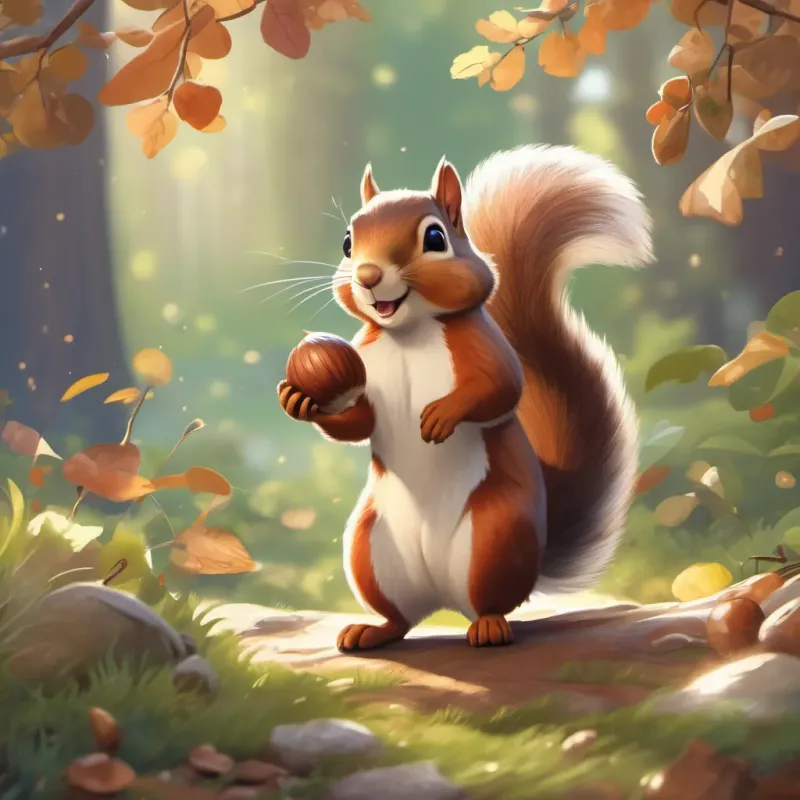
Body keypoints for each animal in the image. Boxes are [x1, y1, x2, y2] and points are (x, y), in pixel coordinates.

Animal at [278, 145, 653, 652]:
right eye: (347, 243)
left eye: (435, 237)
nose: (368, 275)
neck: (410, 333)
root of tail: (443, 598)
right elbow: (359, 424)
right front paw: (299, 399)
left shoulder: (487, 348)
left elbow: (502, 389)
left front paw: (441, 415)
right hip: (368, 546)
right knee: (400, 619)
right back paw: (371, 631)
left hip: (495, 535)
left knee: (490, 602)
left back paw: (490, 629)